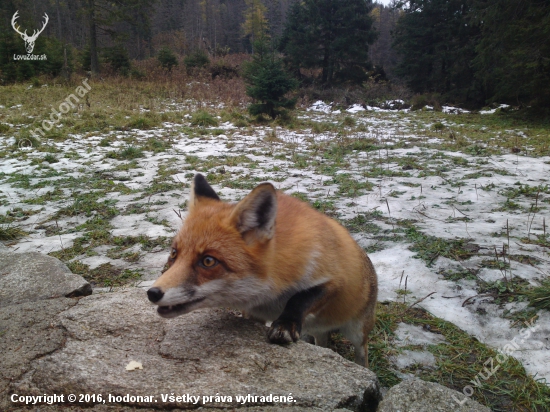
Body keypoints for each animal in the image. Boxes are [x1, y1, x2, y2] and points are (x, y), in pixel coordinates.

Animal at [147, 174, 380, 366]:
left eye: (208, 261)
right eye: (174, 254)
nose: (152, 293)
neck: (269, 293)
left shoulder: (337, 281)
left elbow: (301, 297)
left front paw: (285, 324)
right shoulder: (254, 313)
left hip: (358, 331)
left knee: (363, 353)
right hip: (316, 330)